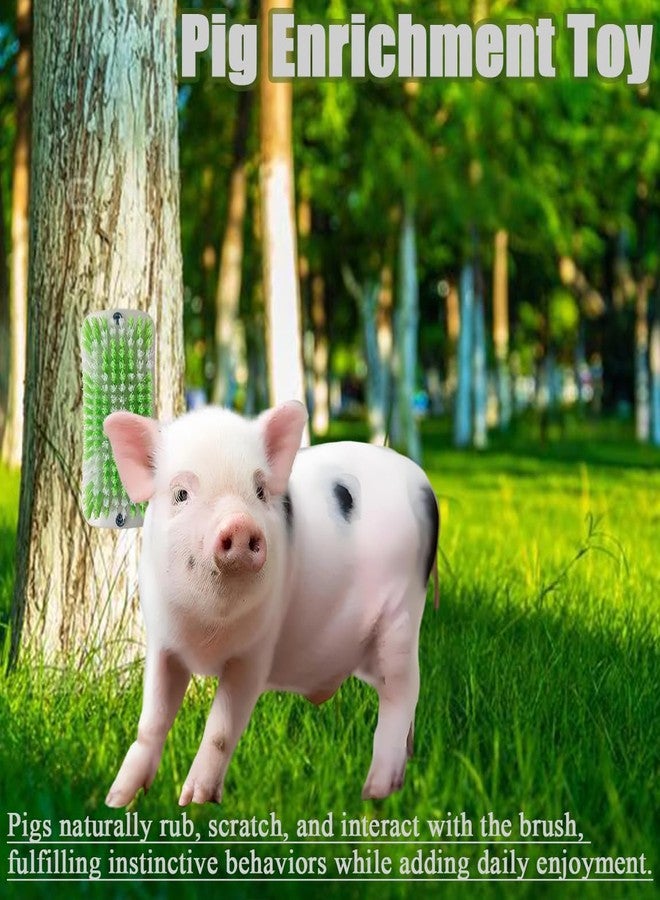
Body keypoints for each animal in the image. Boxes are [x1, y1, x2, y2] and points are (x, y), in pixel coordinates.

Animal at [103, 401, 439, 807]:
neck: (208, 628)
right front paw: (117, 799)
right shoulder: (163, 642)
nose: (240, 524)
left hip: (401, 615)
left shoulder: (255, 652)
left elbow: (221, 730)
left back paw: (375, 792)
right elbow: (151, 720)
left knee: (403, 691)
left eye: (260, 491)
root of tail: (422, 483)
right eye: (181, 494)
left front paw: (194, 802)